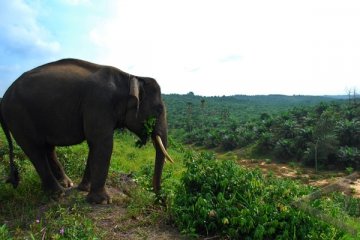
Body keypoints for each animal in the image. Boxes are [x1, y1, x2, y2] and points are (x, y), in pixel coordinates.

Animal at [0, 57, 174, 202]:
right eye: (159, 109)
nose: (161, 201)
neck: (131, 77)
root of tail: (4, 97)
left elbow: (94, 144)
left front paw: (84, 189)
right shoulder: (99, 103)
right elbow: (103, 143)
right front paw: (102, 201)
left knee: (47, 148)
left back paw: (67, 184)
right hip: (18, 116)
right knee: (35, 150)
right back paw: (58, 193)